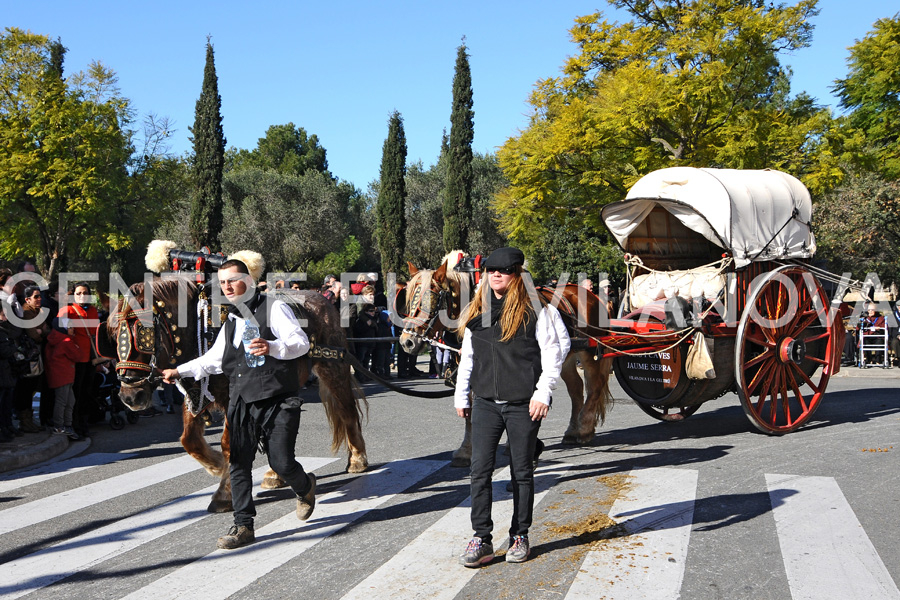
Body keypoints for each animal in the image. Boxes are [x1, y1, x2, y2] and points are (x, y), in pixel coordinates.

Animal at [104, 280, 370, 510]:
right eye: (114, 335)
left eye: (144, 334)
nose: (130, 397)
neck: (202, 328)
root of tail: (321, 299)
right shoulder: (195, 393)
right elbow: (189, 440)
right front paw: (216, 466)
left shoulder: (234, 399)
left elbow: (229, 444)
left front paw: (224, 491)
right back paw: (275, 475)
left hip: (332, 368)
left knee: (347, 410)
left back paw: (357, 459)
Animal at [400, 253, 616, 464]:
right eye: (409, 300)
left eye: (431, 298)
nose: (407, 341)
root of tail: (593, 296)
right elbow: (470, 410)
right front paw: (467, 450)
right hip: (566, 358)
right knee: (576, 389)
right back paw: (573, 430)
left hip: (589, 353)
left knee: (595, 386)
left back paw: (584, 428)